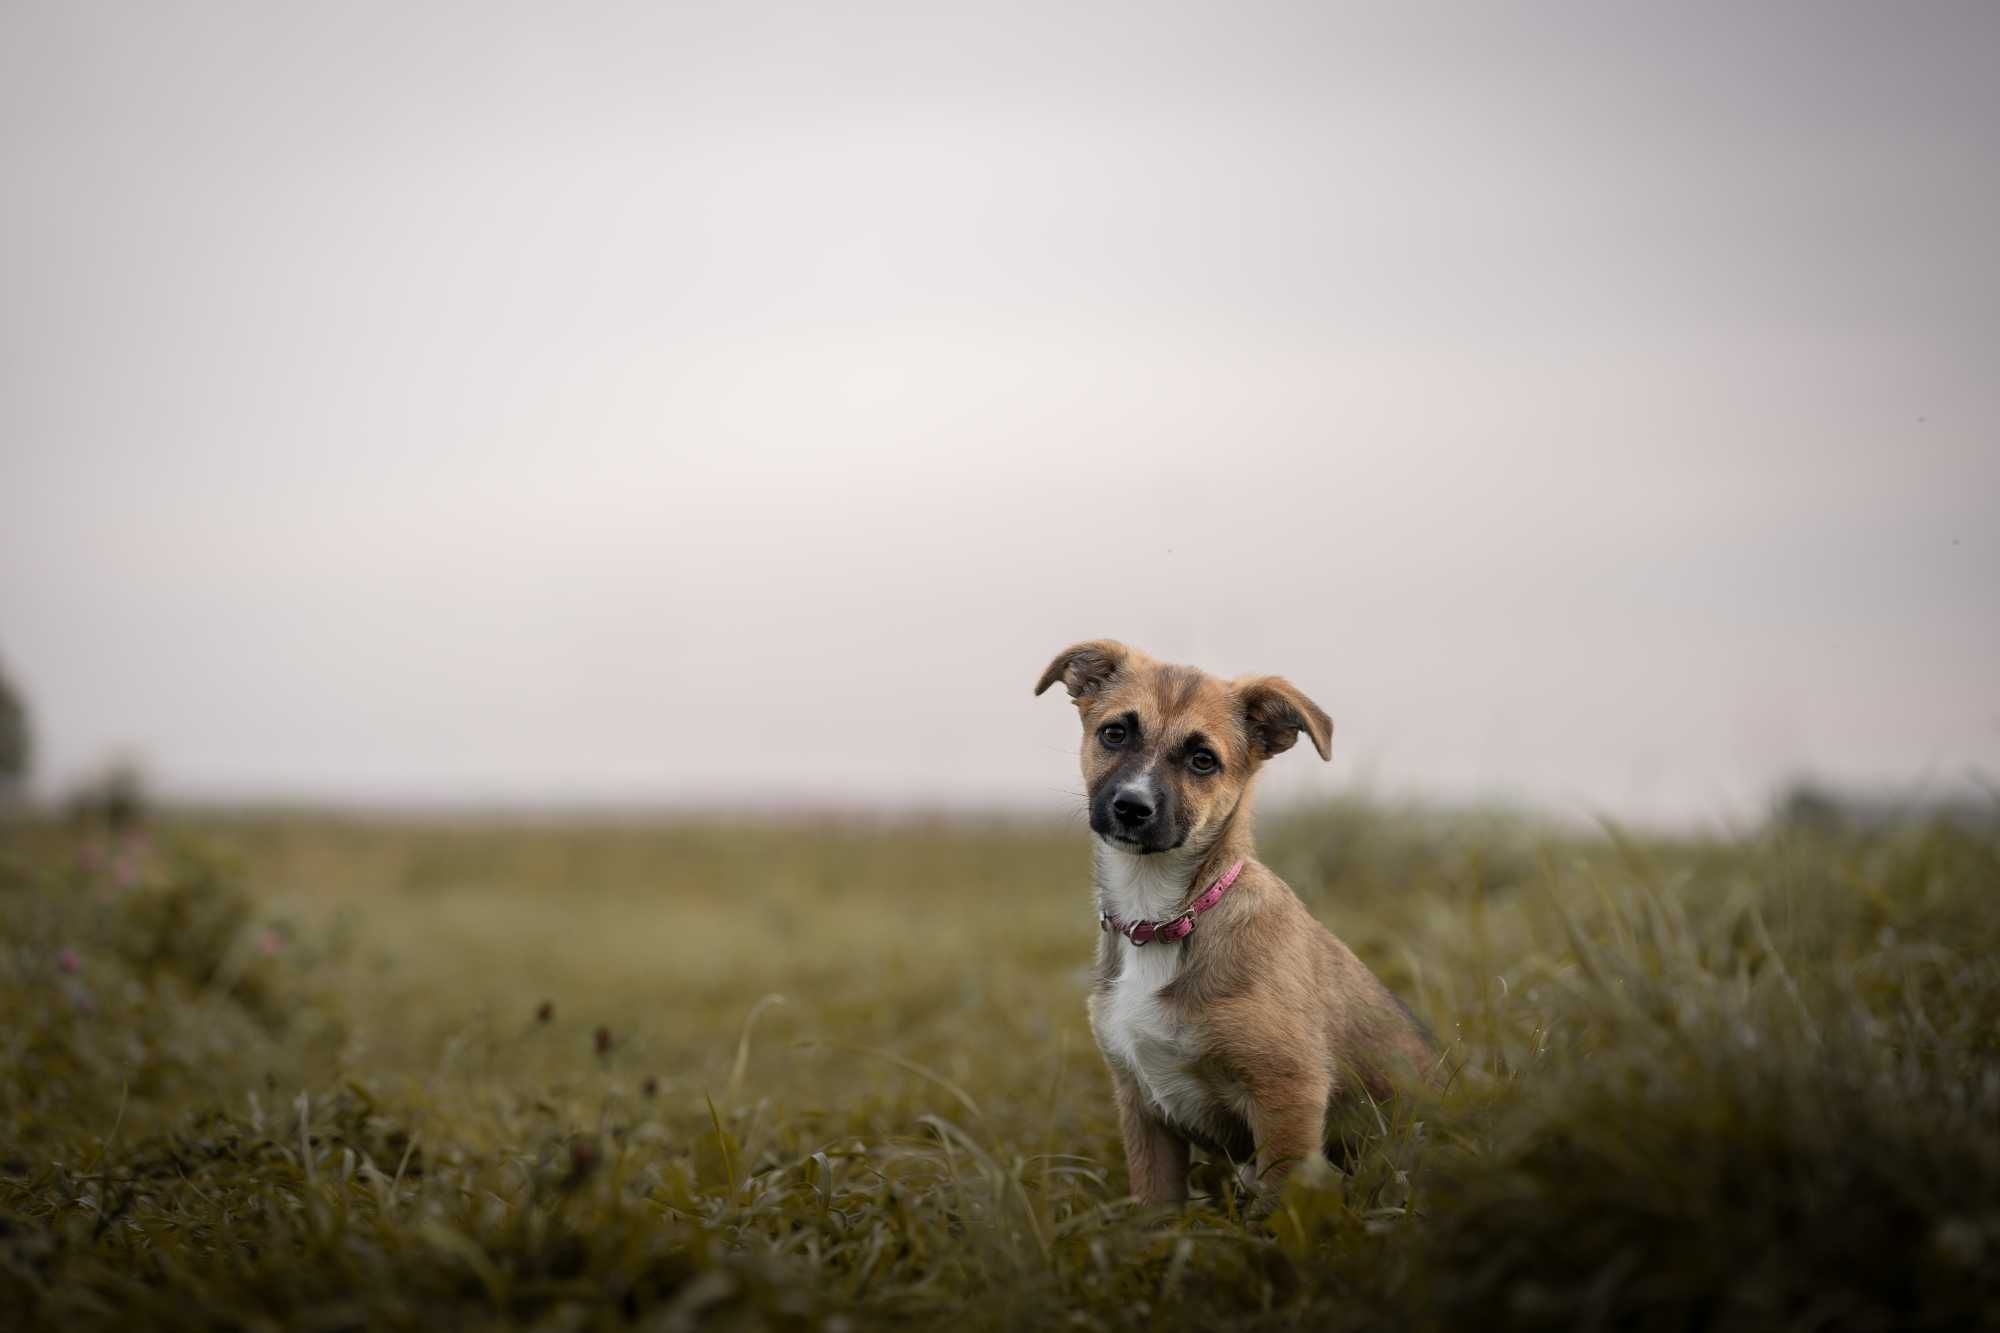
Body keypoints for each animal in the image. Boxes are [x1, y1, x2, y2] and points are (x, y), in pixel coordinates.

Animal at [1032, 640, 1440, 1216]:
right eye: (1115, 733)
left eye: (1203, 760)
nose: (1131, 807)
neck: (1164, 918)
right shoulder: (1141, 1109)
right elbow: (1156, 1213)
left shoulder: (1288, 1098)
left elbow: (1279, 1209)